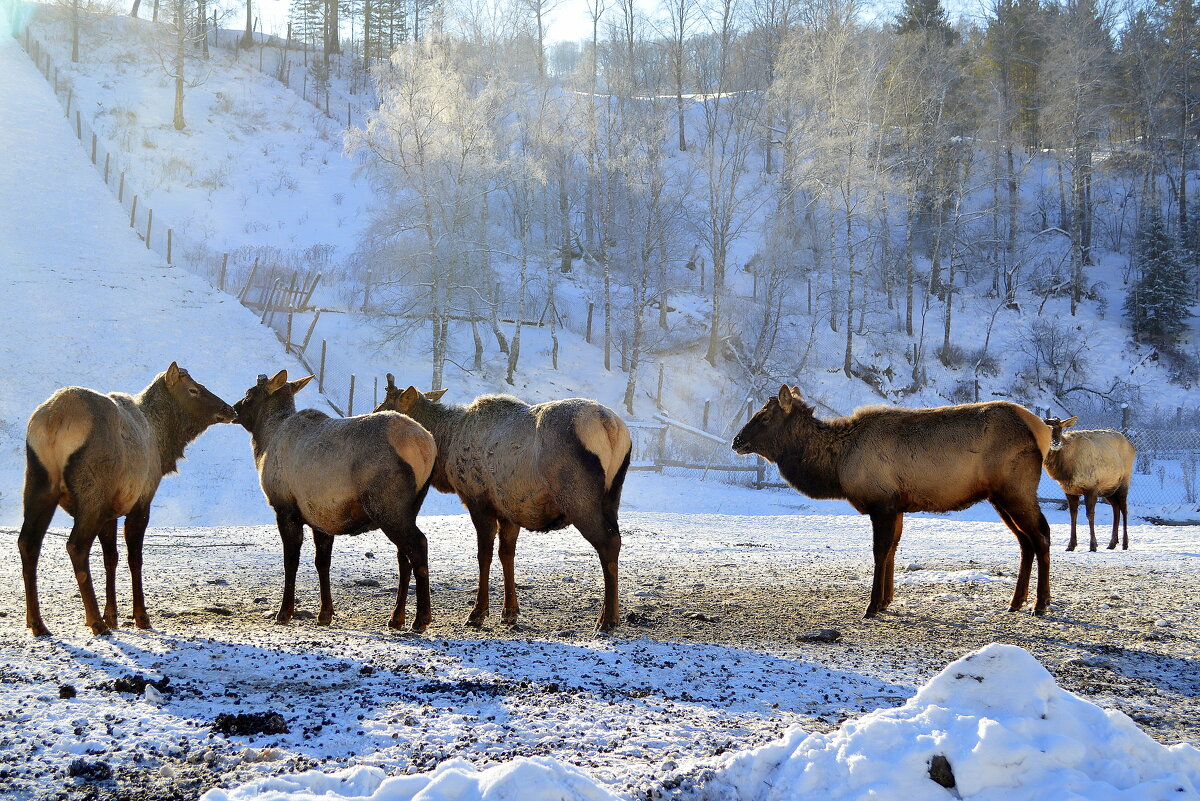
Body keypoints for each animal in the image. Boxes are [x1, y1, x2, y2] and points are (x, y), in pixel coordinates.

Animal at [19, 364, 236, 637]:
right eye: (193, 389)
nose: (230, 409)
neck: (162, 445)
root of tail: (53, 421)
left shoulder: (111, 510)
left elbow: (111, 558)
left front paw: (112, 616)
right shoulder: (141, 500)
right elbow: (135, 558)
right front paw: (140, 617)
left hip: (38, 482)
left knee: (27, 543)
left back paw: (37, 623)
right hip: (92, 493)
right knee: (76, 546)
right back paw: (95, 623)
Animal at [231, 371, 439, 633]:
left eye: (249, 394)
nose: (234, 408)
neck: (264, 444)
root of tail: (427, 446)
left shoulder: (286, 508)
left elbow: (291, 562)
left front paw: (284, 613)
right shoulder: (320, 515)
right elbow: (322, 563)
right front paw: (325, 613)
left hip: (386, 505)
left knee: (419, 545)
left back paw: (421, 619)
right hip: (410, 507)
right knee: (404, 557)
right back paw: (396, 618)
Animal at [376, 376, 633, 633]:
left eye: (383, 407)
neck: (446, 446)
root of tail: (611, 427)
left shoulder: (478, 501)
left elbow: (484, 555)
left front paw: (478, 613)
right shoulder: (509, 509)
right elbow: (506, 555)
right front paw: (509, 612)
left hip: (578, 497)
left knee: (608, 543)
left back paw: (608, 620)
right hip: (612, 497)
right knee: (615, 542)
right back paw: (608, 615)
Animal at [724, 388, 1056, 618]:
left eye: (764, 417)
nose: (736, 441)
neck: (836, 466)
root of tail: (1041, 429)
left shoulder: (881, 503)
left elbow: (880, 551)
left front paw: (872, 606)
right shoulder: (897, 506)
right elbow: (894, 548)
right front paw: (886, 600)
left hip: (1015, 490)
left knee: (1041, 535)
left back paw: (1040, 603)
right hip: (1000, 496)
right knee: (1025, 541)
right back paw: (1016, 601)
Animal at [1041, 419, 1132, 551]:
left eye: (1060, 428)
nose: (1055, 442)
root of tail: (1132, 447)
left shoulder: (1091, 488)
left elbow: (1090, 514)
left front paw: (1093, 545)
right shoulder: (1070, 491)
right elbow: (1073, 515)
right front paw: (1071, 545)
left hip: (1124, 482)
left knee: (1124, 509)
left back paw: (1125, 543)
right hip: (1108, 489)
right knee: (1116, 508)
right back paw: (1112, 543)